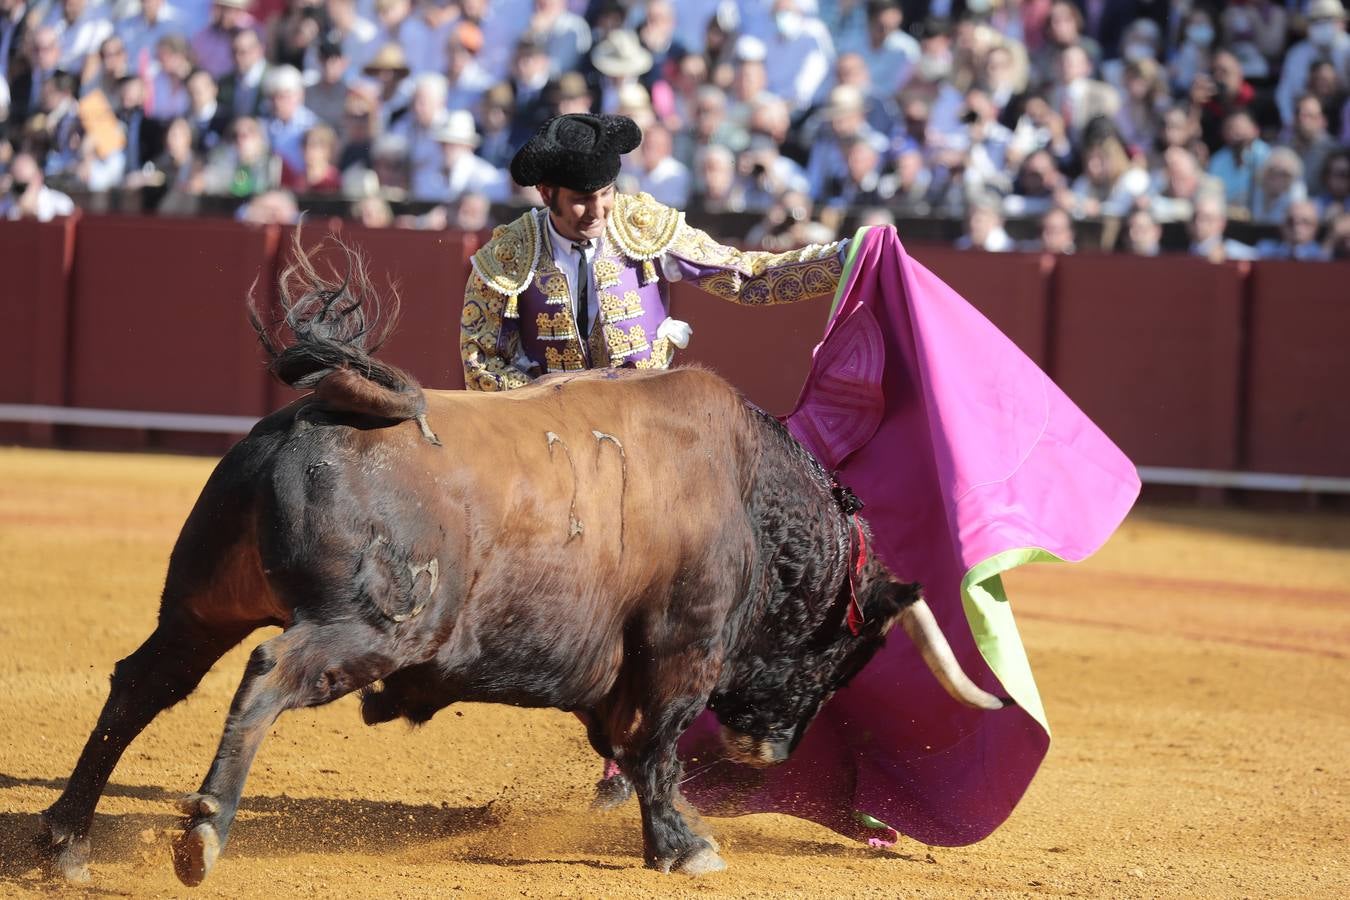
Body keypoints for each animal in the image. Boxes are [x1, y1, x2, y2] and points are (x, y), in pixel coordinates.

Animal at [36, 241, 1009, 885]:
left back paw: (65, 840)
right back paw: (202, 834)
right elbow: (658, 744)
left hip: (201, 604)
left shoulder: (610, 663)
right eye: (844, 655)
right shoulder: (684, 647)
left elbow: (626, 745)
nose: (771, 753)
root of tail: (326, 409)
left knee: (141, 682)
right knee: (270, 671)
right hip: (373, 625)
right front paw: (688, 847)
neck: (746, 492)